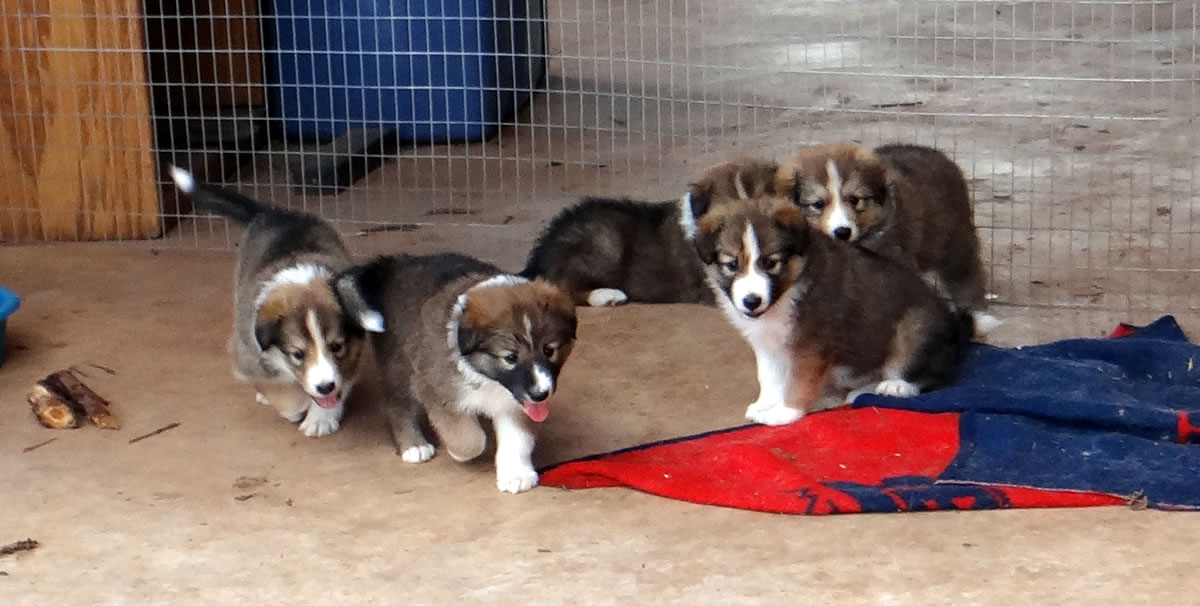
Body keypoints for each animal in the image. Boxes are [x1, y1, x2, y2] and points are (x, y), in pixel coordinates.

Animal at [169, 166, 364, 439]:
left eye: (336, 346)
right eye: (297, 353)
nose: (324, 387)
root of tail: (272, 213)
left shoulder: (353, 351)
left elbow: (342, 383)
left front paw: (321, 418)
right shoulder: (246, 355)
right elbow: (282, 394)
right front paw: (299, 406)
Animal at [336, 250, 578, 492]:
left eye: (549, 350)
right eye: (510, 358)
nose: (541, 394)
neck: (488, 378)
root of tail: (391, 266)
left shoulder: (517, 404)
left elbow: (517, 439)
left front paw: (516, 474)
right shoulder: (436, 387)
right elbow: (470, 438)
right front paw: (459, 452)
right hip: (400, 367)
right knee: (396, 404)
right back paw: (414, 445)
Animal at [686, 158, 974, 427]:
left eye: (771, 263)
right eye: (731, 265)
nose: (751, 301)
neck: (788, 291)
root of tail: (954, 329)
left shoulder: (812, 346)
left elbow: (797, 382)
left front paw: (784, 412)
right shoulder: (767, 343)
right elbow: (769, 376)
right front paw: (766, 403)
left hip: (913, 332)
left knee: (933, 376)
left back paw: (895, 386)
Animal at [772, 142, 988, 326]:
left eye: (855, 200)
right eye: (818, 204)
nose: (842, 232)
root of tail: (937, 154)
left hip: (954, 242)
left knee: (967, 275)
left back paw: (979, 316)